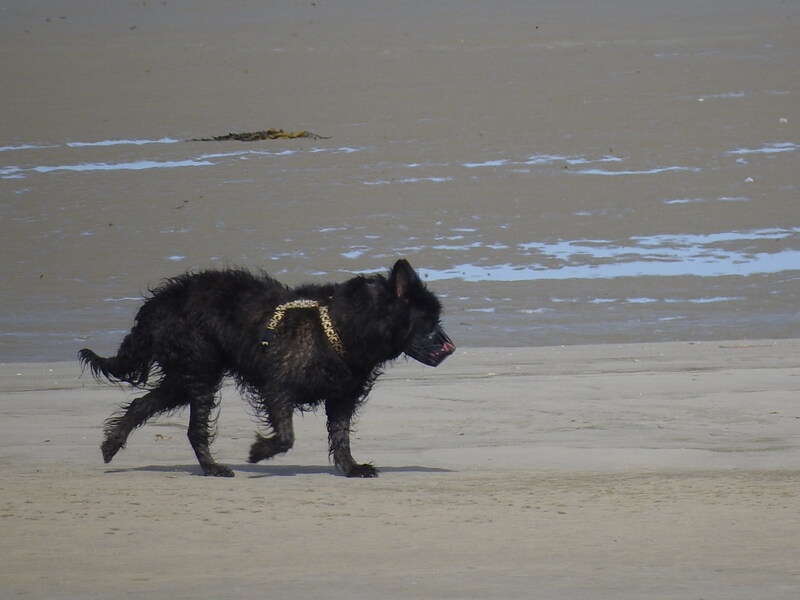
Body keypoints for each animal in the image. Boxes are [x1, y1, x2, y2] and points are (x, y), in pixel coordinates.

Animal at [81, 260, 456, 476]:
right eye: (427, 320)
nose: (450, 347)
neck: (342, 325)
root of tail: (157, 303)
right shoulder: (277, 386)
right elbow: (287, 435)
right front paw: (258, 452)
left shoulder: (342, 396)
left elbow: (341, 434)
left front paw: (351, 467)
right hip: (200, 371)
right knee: (193, 428)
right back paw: (213, 468)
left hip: (184, 375)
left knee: (141, 404)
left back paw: (111, 446)